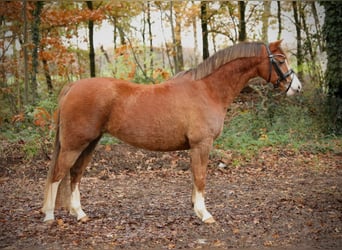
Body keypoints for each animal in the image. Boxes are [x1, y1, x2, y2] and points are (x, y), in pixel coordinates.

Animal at [41, 40, 300, 224]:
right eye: (281, 60)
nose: (296, 88)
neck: (208, 89)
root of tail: (74, 86)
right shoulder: (202, 144)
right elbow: (201, 177)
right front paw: (205, 215)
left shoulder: (196, 147)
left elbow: (195, 178)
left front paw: (197, 210)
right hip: (74, 144)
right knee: (58, 175)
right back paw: (50, 217)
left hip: (90, 143)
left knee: (74, 174)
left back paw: (79, 214)